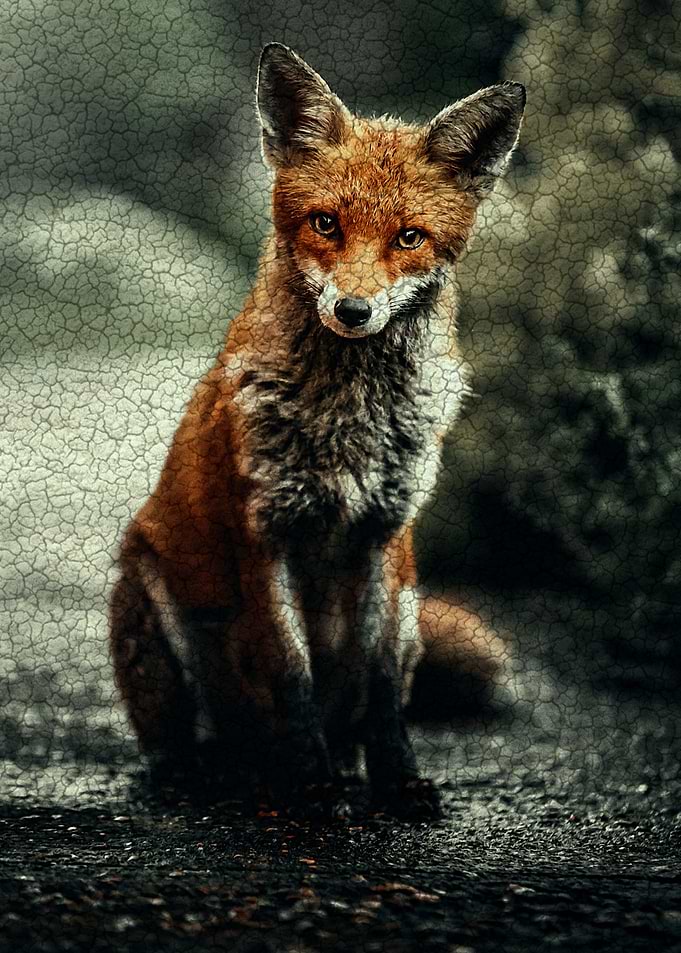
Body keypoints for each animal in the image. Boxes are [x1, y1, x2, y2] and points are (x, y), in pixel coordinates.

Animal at [109, 42, 525, 818]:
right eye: (326, 223)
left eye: (409, 237)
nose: (354, 310)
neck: (347, 421)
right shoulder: (263, 534)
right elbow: (291, 673)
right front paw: (313, 786)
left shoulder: (384, 539)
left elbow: (383, 691)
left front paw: (396, 780)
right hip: (150, 597)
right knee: (189, 737)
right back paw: (204, 772)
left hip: (413, 607)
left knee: (350, 712)